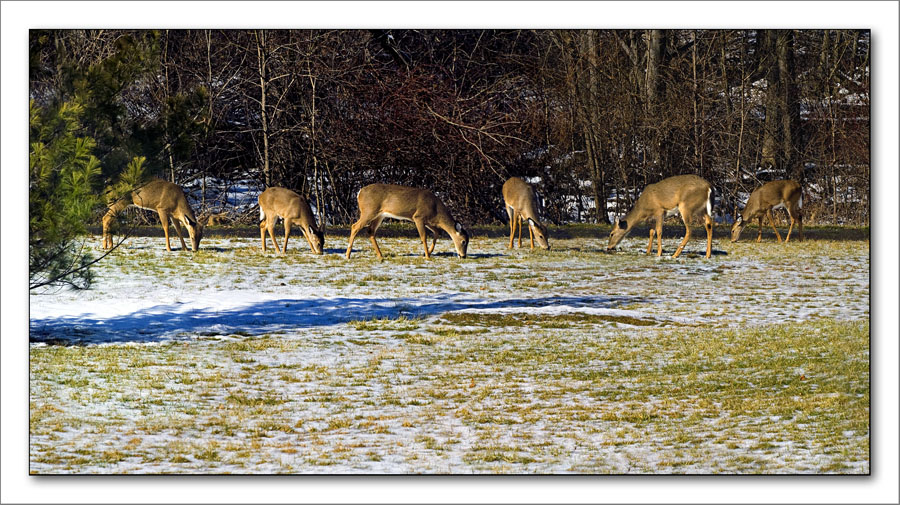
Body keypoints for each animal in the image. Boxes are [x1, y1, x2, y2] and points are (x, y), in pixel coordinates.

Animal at [344, 183, 472, 260]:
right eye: (463, 241)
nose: (463, 256)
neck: (436, 211)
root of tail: (359, 193)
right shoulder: (418, 217)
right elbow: (424, 237)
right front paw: (427, 256)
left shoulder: (429, 221)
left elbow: (438, 232)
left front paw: (428, 252)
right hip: (369, 210)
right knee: (355, 226)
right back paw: (348, 255)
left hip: (379, 215)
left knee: (370, 231)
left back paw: (380, 255)